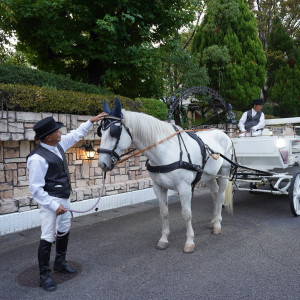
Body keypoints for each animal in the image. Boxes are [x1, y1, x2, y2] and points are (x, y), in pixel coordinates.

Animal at [97, 99, 233, 253]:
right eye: (100, 132)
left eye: (114, 132)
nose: (102, 163)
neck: (166, 152)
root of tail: (223, 133)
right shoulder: (158, 187)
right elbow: (164, 213)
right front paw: (163, 240)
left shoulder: (184, 188)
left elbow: (186, 214)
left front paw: (189, 242)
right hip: (208, 176)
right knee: (215, 195)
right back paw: (213, 221)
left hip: (224, 172)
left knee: (220, 196)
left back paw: (217, 225)